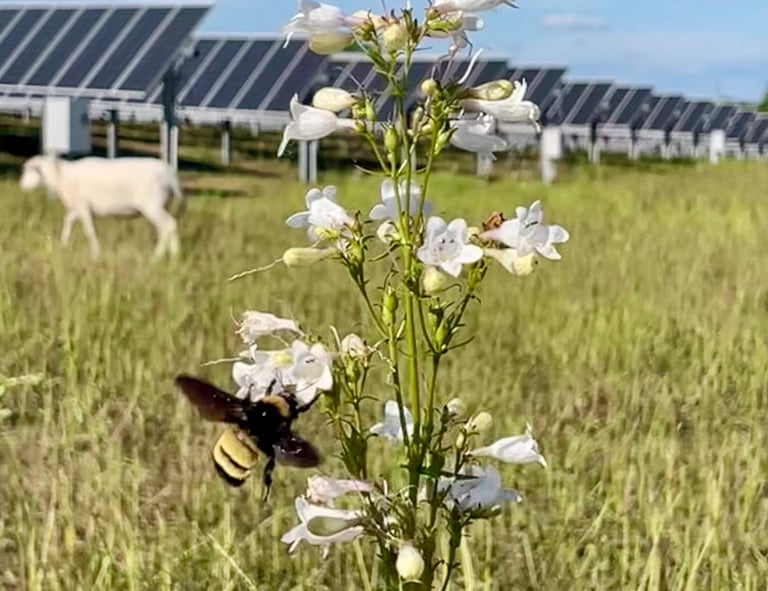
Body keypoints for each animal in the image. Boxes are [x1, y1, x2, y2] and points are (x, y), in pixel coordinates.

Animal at [19, 155, 185, 260]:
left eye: (31, 170)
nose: (21, 186)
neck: (61, 176)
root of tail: (169, 173)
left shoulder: (83, 206)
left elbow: (89, 231)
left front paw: (95, 255)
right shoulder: (77, 209)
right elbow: (68, 223)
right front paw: (63, 246)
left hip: (151, 205)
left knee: (167, 225)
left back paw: (157, 257)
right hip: (160, 205)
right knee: (171, 225)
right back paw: (174, 256)